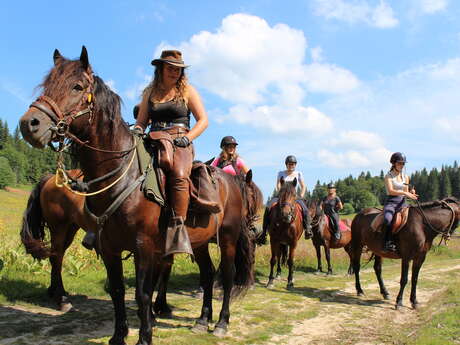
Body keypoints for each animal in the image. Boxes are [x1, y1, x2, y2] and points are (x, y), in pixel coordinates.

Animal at [18, 47, 258, 342]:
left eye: (77, 86)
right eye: (47, 84)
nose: (30, 124)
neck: (123, 175)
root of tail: (231, 183)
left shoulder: (144, 247)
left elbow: (144, 293)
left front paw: (146, 333)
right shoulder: (110, 247)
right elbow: (119, 291)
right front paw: (118, 336)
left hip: (227, 237)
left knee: (226, 274)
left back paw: (222, 322)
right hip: (196, 241)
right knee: (207, 274)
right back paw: (202, 320)